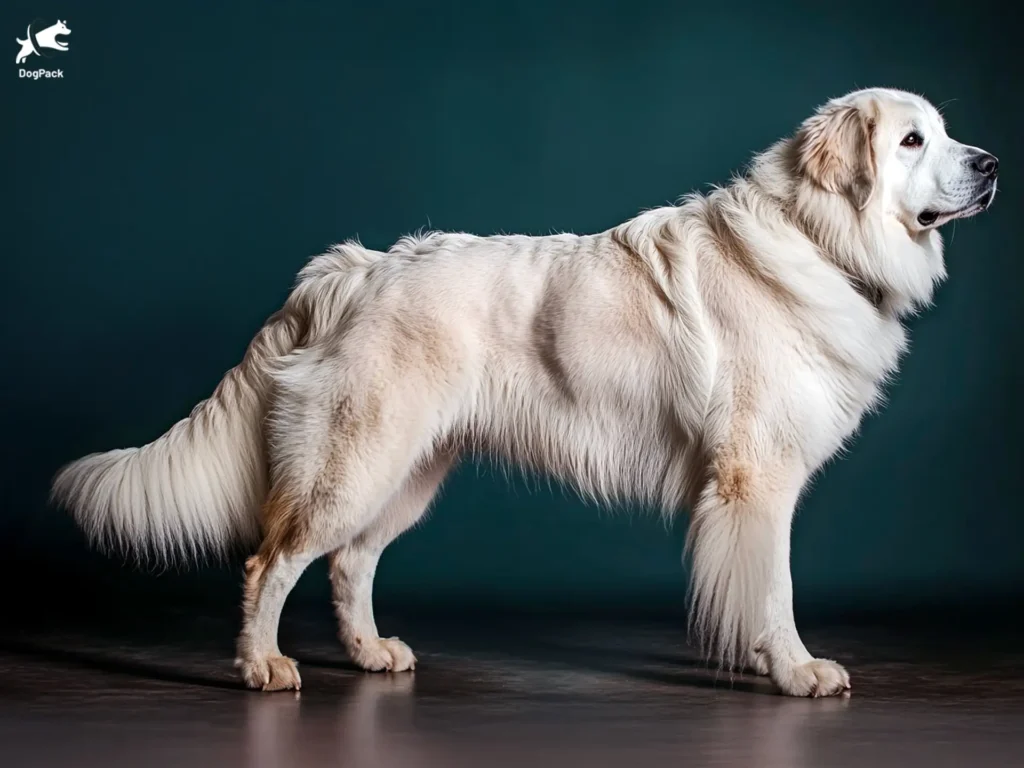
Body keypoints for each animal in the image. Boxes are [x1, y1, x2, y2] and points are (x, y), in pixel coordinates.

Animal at [51, 88, 995, 696]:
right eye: (912, 142)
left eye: (948, 134)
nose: (990, 163)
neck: (817, 234)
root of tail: (349, 270)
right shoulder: (755, 480)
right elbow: (774, 589)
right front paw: (795, 669)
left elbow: (763, 585)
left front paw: (775, 664)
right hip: (354, 465)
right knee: (269, 562)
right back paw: (259, 667)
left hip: (409, 474)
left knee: (350, 562)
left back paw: (370, 655)